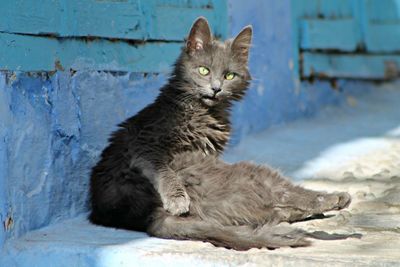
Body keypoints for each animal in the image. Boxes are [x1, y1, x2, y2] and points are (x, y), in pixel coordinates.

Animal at [89, 17, 352, 251]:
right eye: (204, 70)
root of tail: (145, 215)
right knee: (288, 195)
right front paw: (177, 200)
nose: (216, 88)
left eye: (229, 75)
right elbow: (163, 170)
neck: (205, 111)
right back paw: (335, 200)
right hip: (247, 172)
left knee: (270, 209)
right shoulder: (146, 144)